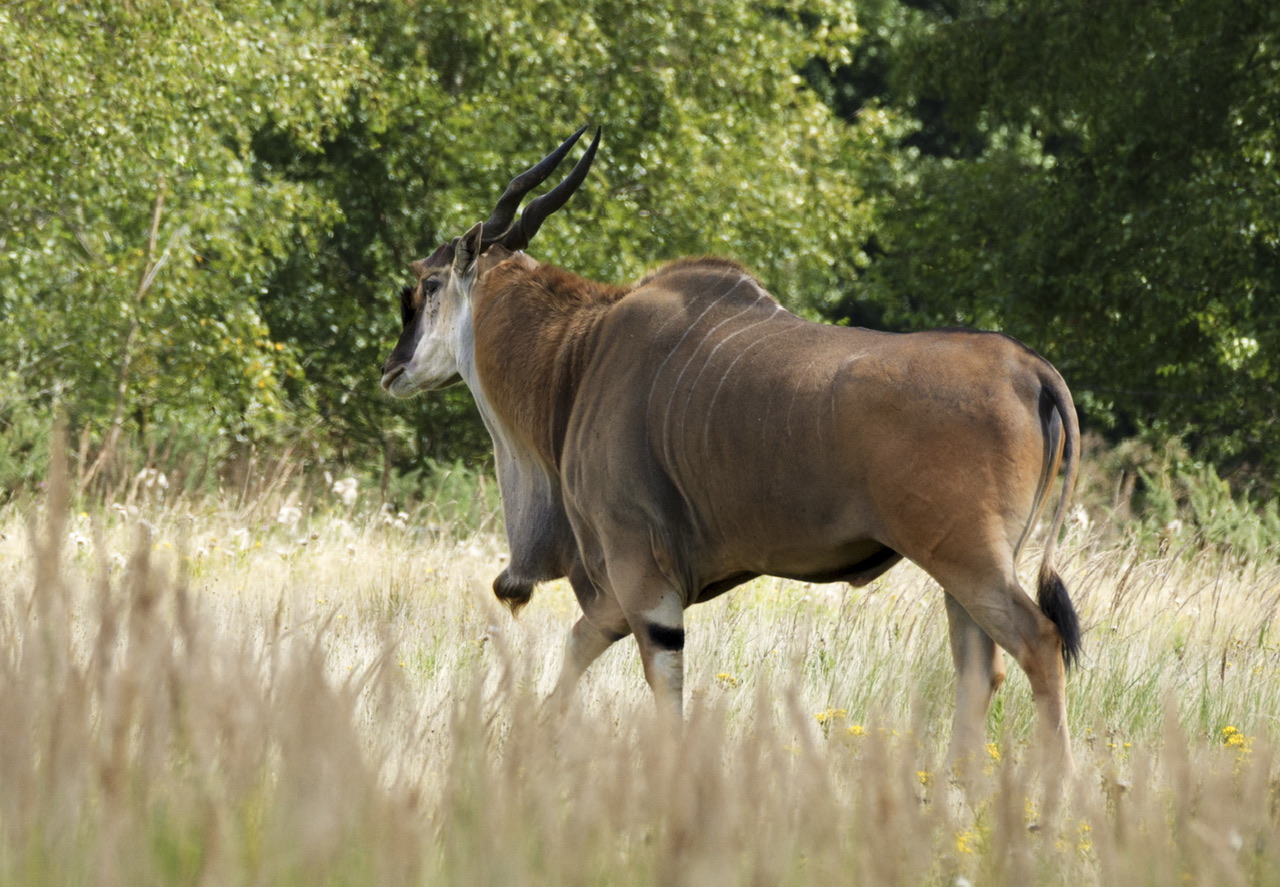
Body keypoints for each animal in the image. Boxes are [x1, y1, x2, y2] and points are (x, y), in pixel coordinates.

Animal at [381, 126, 1082, 773]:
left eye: (428, 284)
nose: (391, 370)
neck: (580, 353)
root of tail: (1027, 368)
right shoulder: (627, 590)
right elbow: (580, 649)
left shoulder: (641, 573)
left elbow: (649, 677)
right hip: (963, 573)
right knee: (980, 668)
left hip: (970, 561)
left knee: (1040, 643)